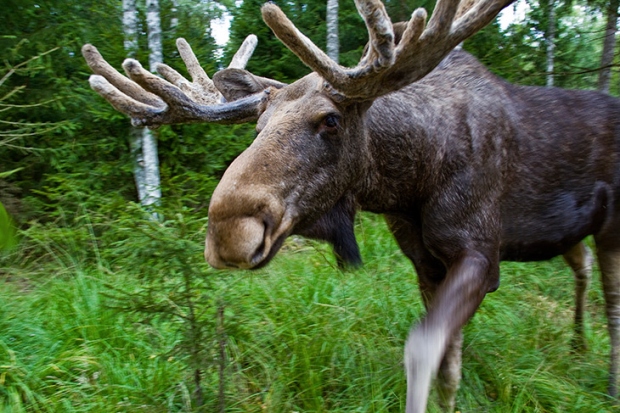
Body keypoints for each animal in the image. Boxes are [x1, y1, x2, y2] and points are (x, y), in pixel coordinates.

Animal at [82, 0, 620, 410]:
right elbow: (449, 363)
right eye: (258, 125)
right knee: (582, 268)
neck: (411, 180)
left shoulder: (480, 253)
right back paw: (577, 344)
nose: (229, 232)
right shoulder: (425, 260)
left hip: (612, 228)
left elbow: (423, 348)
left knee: (611, 301)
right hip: (569, 232)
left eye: (331, 120)